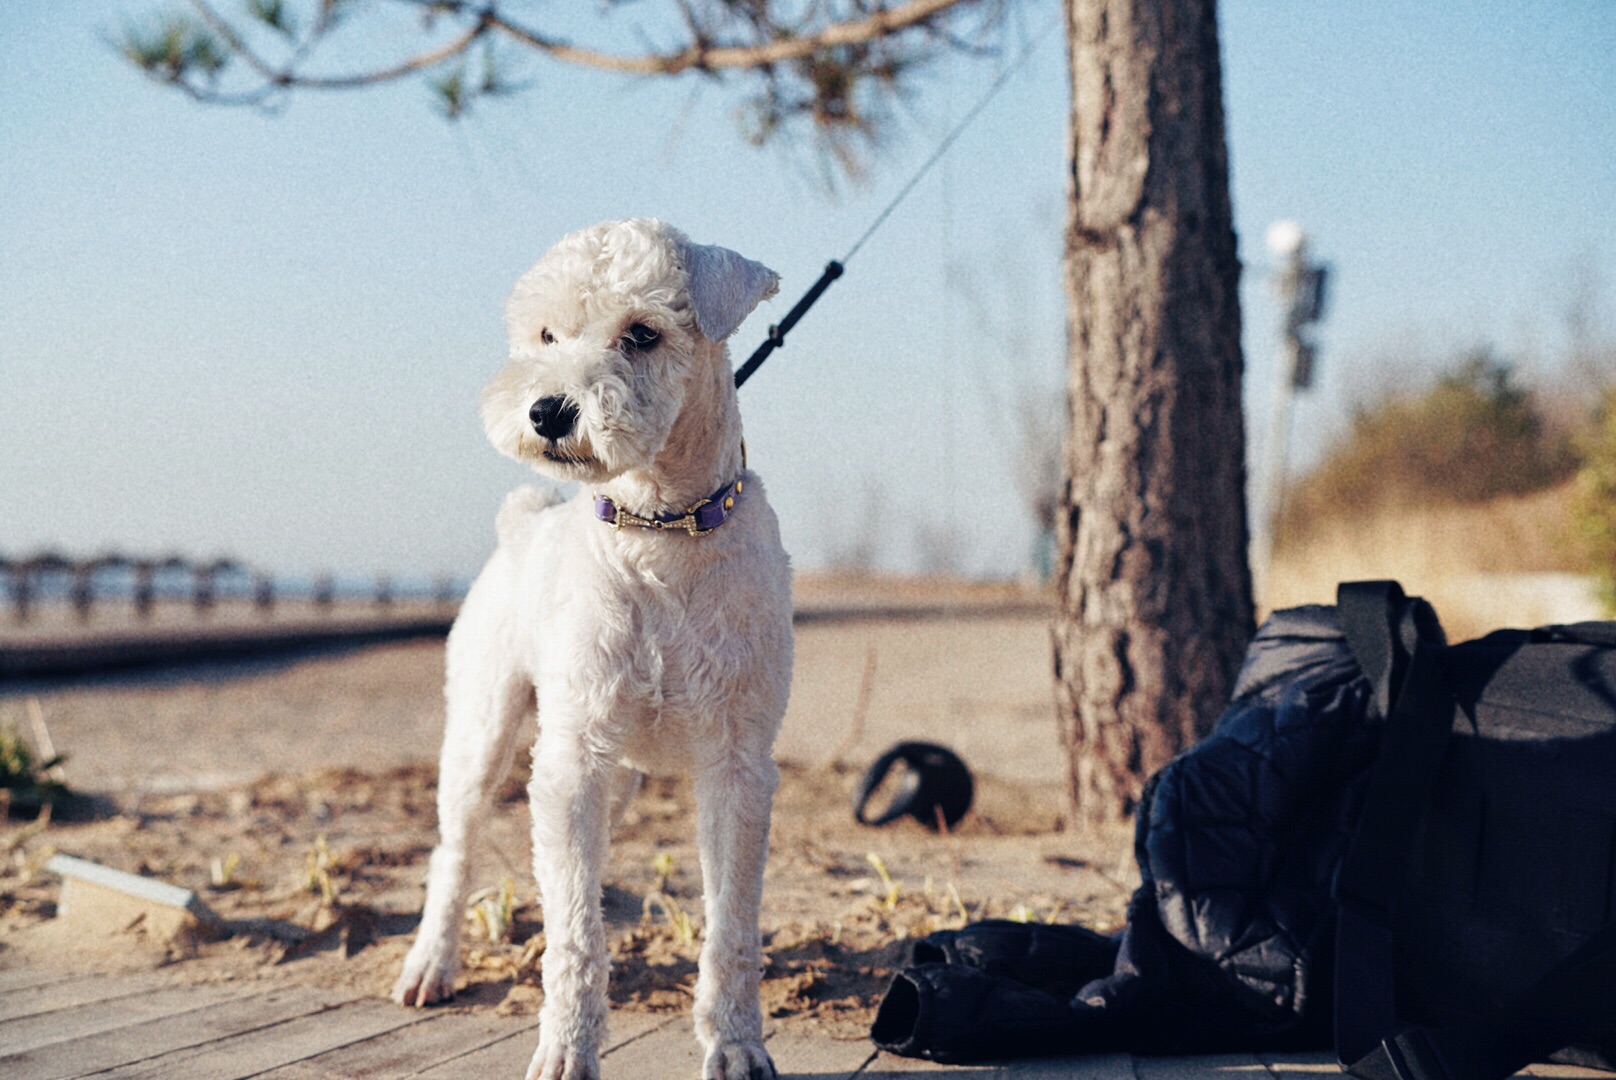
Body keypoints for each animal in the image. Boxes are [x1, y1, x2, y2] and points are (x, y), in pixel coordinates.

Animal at [392, 213, 795, 1080]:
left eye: (642, 333)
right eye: (546, 334)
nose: (548, 412)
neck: (659, 529)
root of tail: (518, 525)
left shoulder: (738, 766)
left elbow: (732, 927)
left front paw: (736, 1044)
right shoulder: (573, 755)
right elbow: (573, 932)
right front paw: (566, 1049)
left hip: (617, 775)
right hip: (484, 733)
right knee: (454, 854)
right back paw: (430, 965)